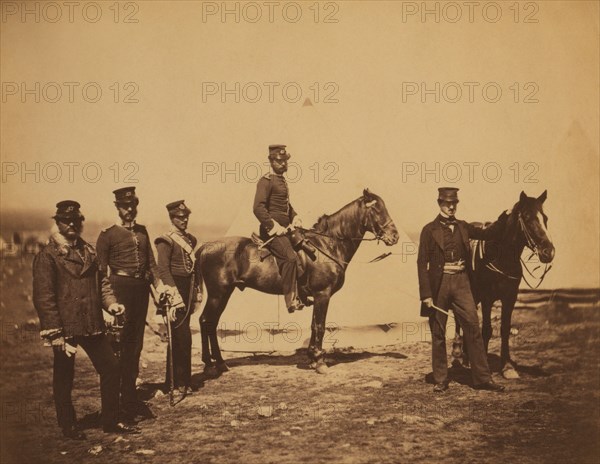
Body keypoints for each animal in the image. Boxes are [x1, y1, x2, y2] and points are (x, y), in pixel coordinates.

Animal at [193, 188, 398, 374]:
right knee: (205, 321)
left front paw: (313, 358)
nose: (395, 236)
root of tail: (205, 247)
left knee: (212, 323)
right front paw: (319, 361)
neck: (327, 246)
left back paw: (220, 363)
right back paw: (210, 364)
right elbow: (320, 326)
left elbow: (314, 325)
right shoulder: (323, 294)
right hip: (218, 294)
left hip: (225, 293)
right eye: (377, 209)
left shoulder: (318, 296)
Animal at [458, 190, 556, 378]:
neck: (500, 257)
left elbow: (505, 329)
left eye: (545, 218)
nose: (548, 252)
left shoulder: (510, 298)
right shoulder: (487, 298)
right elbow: (487, 330)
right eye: (527, 217)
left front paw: (508, 367)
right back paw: (461, 356)